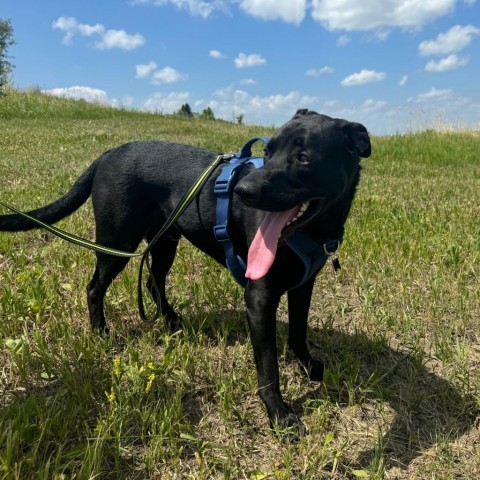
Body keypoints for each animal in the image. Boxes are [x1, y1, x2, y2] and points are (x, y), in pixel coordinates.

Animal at [0, 110, 372, 434]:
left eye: (304, 157)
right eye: (268, 151)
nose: (242, 191)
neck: (314, 233)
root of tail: (106, 154)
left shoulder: (303, 285)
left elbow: (297, 331)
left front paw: (309, 366)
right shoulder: (259, 296)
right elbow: (268, 366)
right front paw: (279, 414)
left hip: (164, 242)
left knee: (153, 284)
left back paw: (172, 321)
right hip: (117, 241)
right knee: (95, 287)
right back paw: (102, 332)